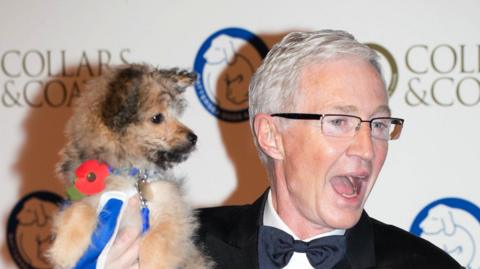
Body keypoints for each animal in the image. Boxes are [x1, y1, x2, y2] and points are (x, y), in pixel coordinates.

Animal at [47, 63, 212, 266]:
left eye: (175, 114)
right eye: (157, 118)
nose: (193, 138)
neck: (129, 170)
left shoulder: (171, 211)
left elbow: (155, 240)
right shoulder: (87, 198)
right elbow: (81, 209)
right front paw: (65, 249)